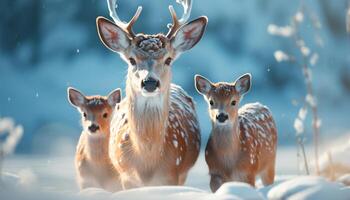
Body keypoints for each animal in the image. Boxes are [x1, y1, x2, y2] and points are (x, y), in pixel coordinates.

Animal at [94, 0, 206, 189]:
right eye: (132, 60)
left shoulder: (172, 175)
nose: (150, 82)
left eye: (168, 59)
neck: (147, 162)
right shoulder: (126, 177)